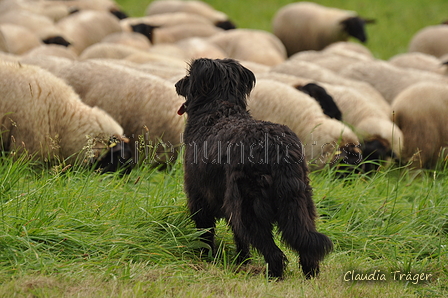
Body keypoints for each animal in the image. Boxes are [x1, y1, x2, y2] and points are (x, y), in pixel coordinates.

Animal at [175, 58, 332, 280]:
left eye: (189, 75)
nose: (177, 84)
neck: (220, 110)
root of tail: (277, 147)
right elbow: (240, 240)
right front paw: (242, 262)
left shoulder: (200, 197)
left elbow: (206, 235)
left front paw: (206, 259)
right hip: (300, 204)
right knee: (307, 246)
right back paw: (310, 277)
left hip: (249, 207)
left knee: (274, 253)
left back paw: (273, 277)